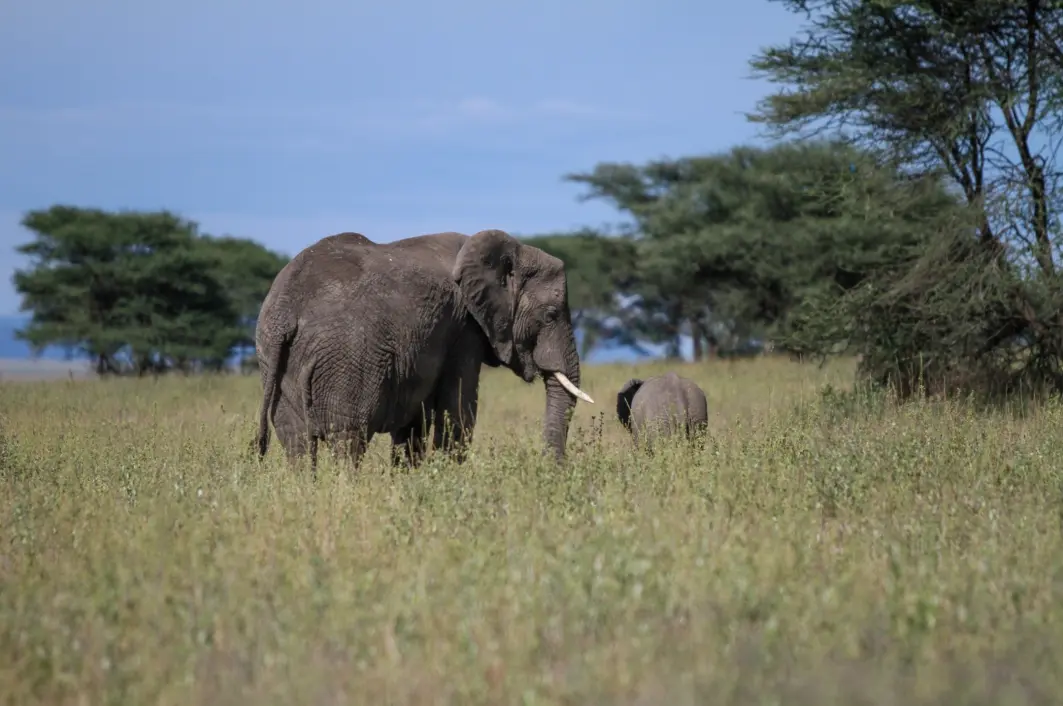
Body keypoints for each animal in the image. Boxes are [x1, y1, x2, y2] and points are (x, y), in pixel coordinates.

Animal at [253, 228, 594, 472]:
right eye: (550, 315)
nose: (554, 471)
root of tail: (285, 311)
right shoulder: (463, 327)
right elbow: (458, 410)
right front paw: (449, 482)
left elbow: (414, 424)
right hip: (346, 363)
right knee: (347, 439)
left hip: (275, 361)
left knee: (297, 442)